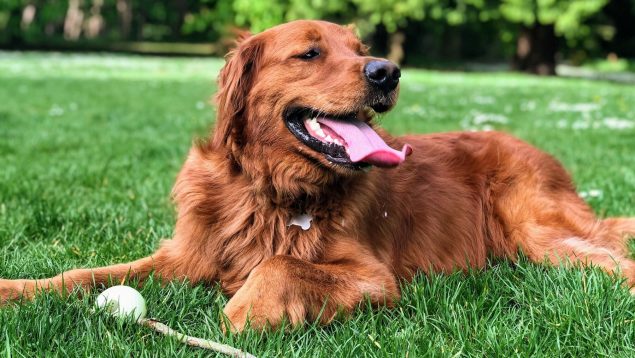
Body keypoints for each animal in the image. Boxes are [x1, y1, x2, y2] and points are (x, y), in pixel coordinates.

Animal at [1, 20, 635, 332]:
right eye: (308, 53)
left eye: (361, 48)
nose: (388, 71)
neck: (269, 189)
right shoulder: (184, 256)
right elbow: (84, 273)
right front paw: (15, 289)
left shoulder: (375, 278)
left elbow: (281, 264)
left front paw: (246, 310)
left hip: (537, 232)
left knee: (609, 255)